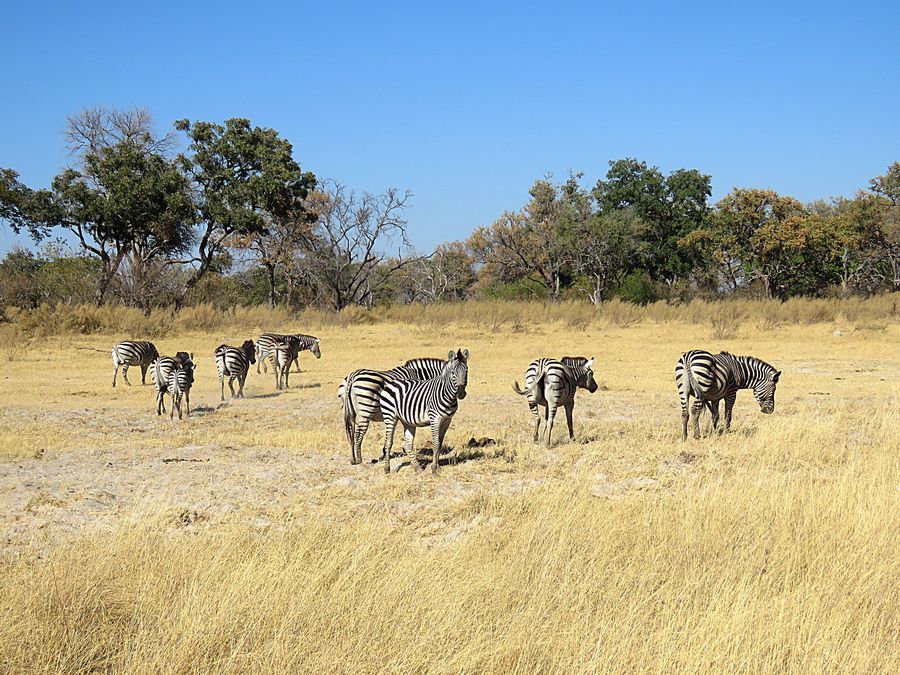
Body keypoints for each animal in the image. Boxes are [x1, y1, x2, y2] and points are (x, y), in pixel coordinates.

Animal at [378, 348, 468, 476]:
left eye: (466, 371)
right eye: (452, 373)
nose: (461, 394)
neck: (447, 395)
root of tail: (391, 383)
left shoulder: (447, 420)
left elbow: (440, 443)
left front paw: (438, 467)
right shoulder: (435, 418)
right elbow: (435, 443)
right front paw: (434, 468)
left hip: (407, 420)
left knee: (407, 443)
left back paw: (417, 467)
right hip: (389, 415)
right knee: (388, 443)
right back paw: (387, 469)